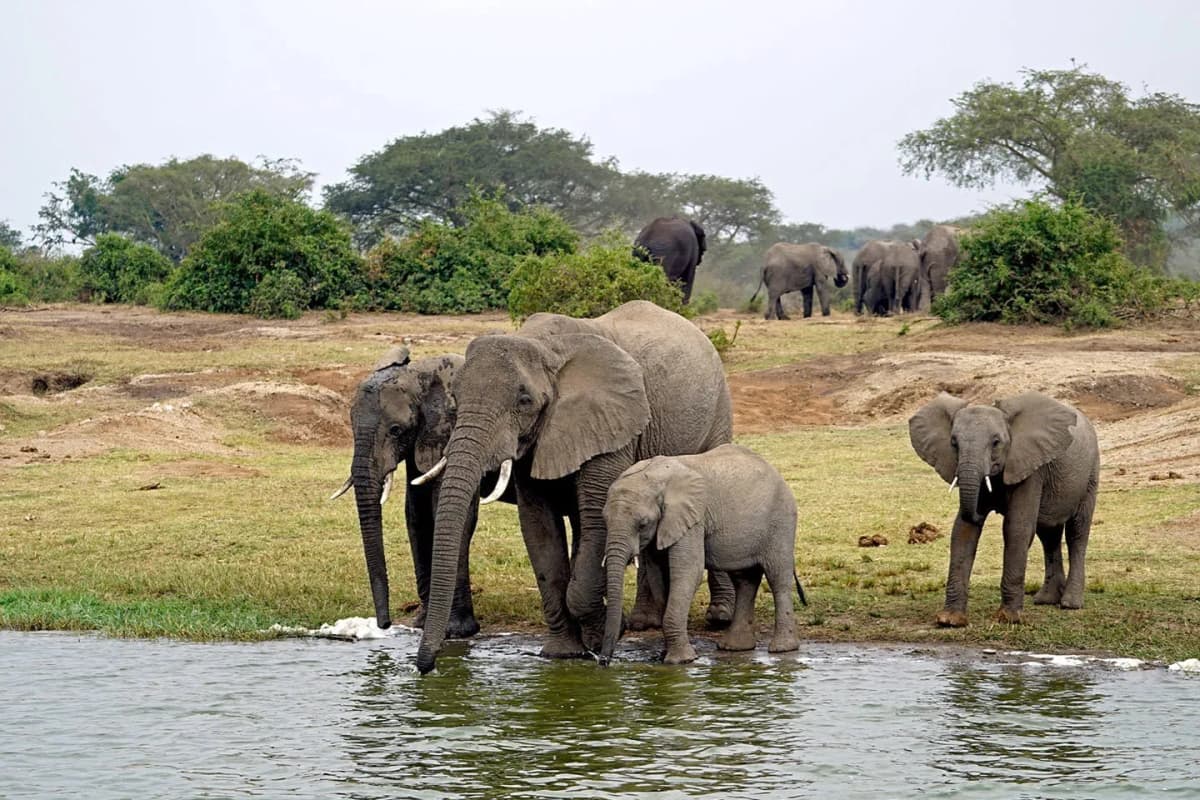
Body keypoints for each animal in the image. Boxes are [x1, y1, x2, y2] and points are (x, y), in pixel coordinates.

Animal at [331, 346, 515, 638]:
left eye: (396, 431)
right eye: (351, 427)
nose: (385, 624)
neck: (421, 375)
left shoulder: (451, 432)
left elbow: (448, 514)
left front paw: (455, 631)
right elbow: (416, 514)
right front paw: (422, 623)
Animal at [410, 300, 735, 674]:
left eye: (524, 401)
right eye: (456, 397)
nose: (426, 666)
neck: (543, 345)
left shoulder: (611, 423)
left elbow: (597, 519)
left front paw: (604, 637)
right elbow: (539, 530)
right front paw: (563, 653)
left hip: (717, 410)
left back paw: (717, 617)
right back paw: (643, 622)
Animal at [599, 444, 806, 665]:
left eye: (643, 524)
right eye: (605, 520)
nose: (603, 661)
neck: (655, 478)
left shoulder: (693, 520)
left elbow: (689, 572)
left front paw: (681, 661)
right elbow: (659, 576)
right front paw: (665, 656)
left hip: (781, 520)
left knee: (777, 578)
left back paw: (782, 648)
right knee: (744, 580)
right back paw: (734, 647)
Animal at [908, 392, 1099, 628]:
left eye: (996, 442)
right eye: (953, 443)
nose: (982, 510)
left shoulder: (1031, 469)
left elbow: (1016, 528)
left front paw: (1009, 619)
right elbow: (963, 531)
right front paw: (949, 620)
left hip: (1091, 473)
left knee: (1076, 532)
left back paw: (1070, 603)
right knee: (1048, 535)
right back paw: (1046, 600)